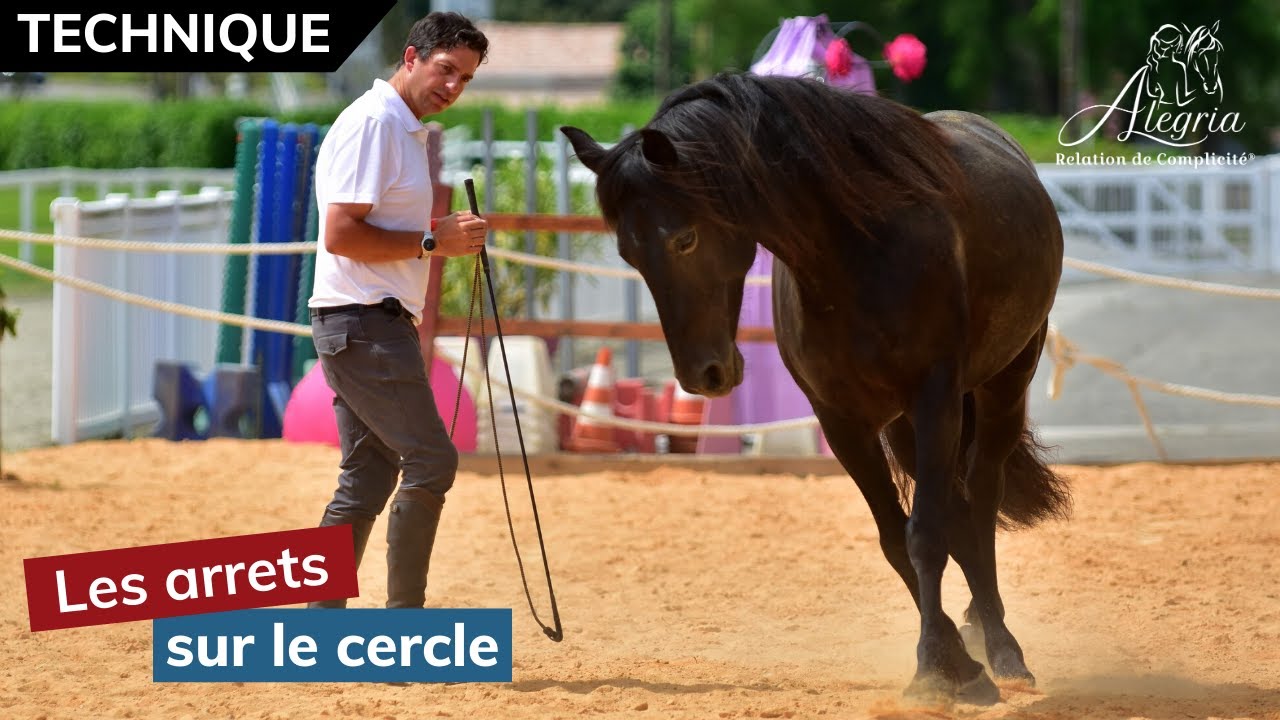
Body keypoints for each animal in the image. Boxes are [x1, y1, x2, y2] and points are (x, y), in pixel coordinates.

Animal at [562, 72, 1069, 705]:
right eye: (628, 252)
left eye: (683, 239)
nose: (703, 375)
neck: (853, 254)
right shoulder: (843, 422)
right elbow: (897, 539)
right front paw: (952, 663)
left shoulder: (936, 400)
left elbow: (925, 534)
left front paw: (940, 666)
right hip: (907, 428)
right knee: (956, 510)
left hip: (1001, 386)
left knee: (978, 497)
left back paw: (1002, 646)